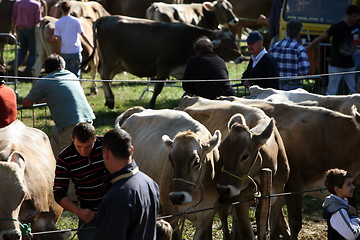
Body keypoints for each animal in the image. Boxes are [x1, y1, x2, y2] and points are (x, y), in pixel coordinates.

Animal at [176, 96, 292, 239]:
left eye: (244, 156)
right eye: (221, 152)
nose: (223, 188)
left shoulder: (278, 195)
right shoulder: (240, 201)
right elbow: (247, 233)